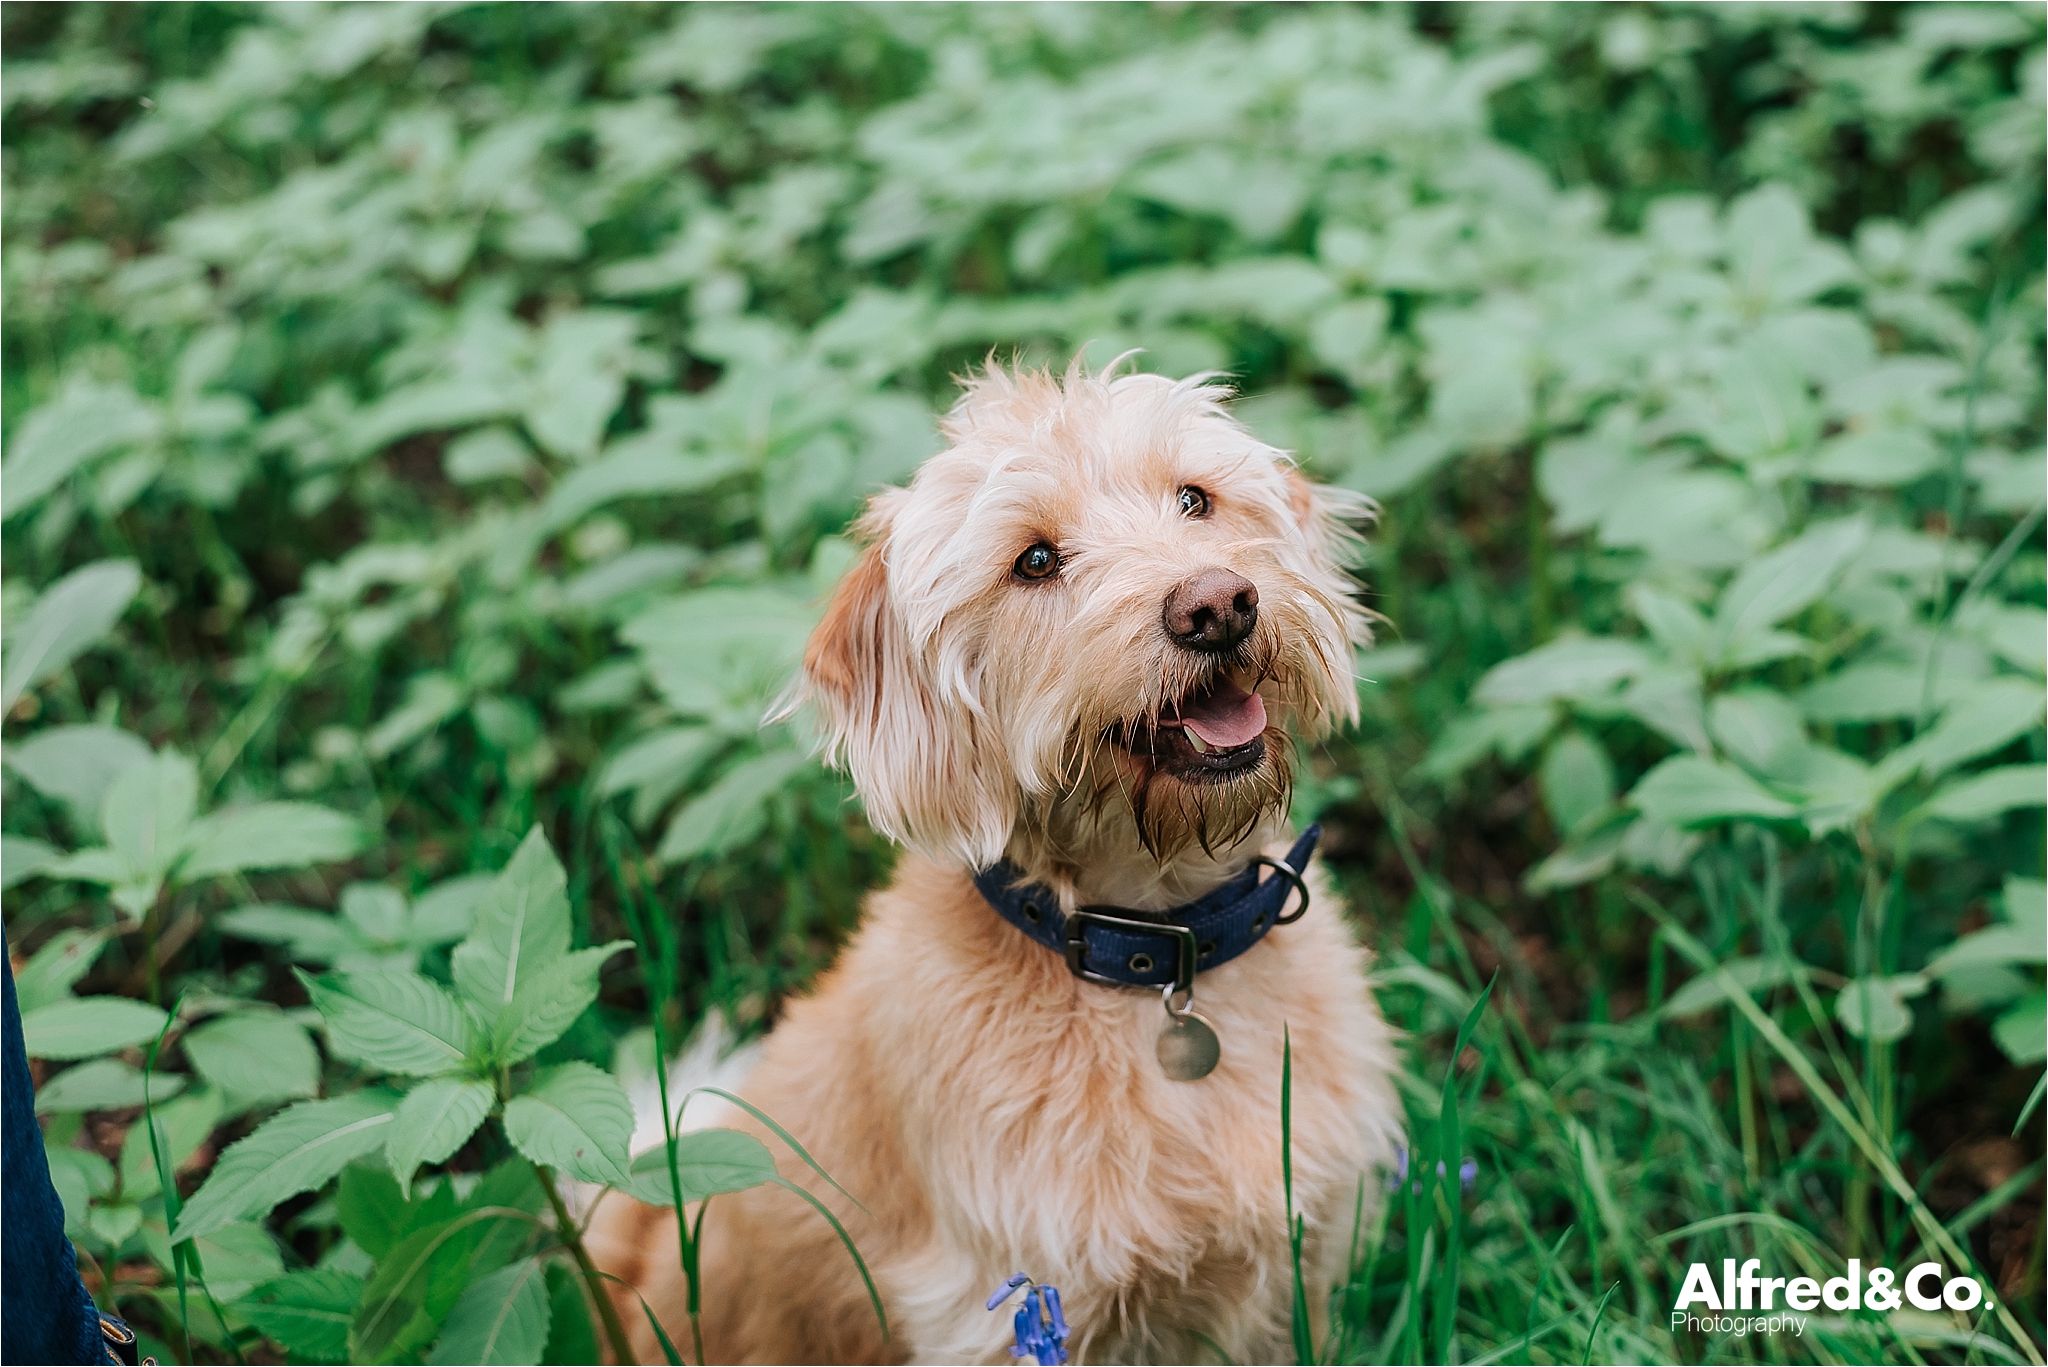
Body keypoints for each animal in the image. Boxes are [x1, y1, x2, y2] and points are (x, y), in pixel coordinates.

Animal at [585, 362, 1400, 1367]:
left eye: (1195, 499)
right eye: (1036, 561)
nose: (1217, 604)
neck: (1154, 957)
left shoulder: (1303, 1278)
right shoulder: (1012, 1313)